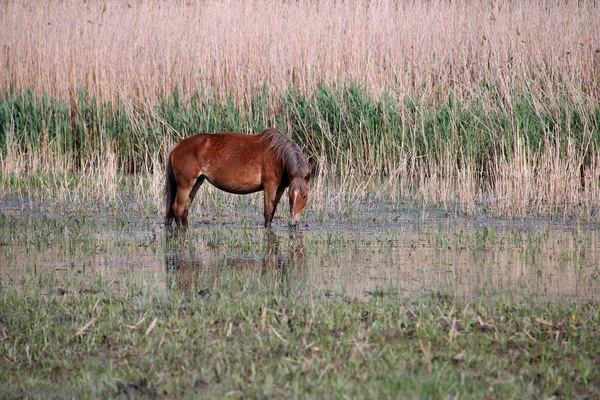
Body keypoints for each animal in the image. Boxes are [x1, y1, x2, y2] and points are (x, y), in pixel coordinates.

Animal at [166, 128, 312, 228]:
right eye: (292, 195)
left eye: (304, 196)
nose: (293, 222)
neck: (278, 155)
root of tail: (177, 146)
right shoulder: (269, 186)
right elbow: (268, 212)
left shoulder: (280, 188)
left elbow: (272, 212)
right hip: (184, 185)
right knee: (177, 209)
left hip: (197, 182)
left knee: (184, 210)